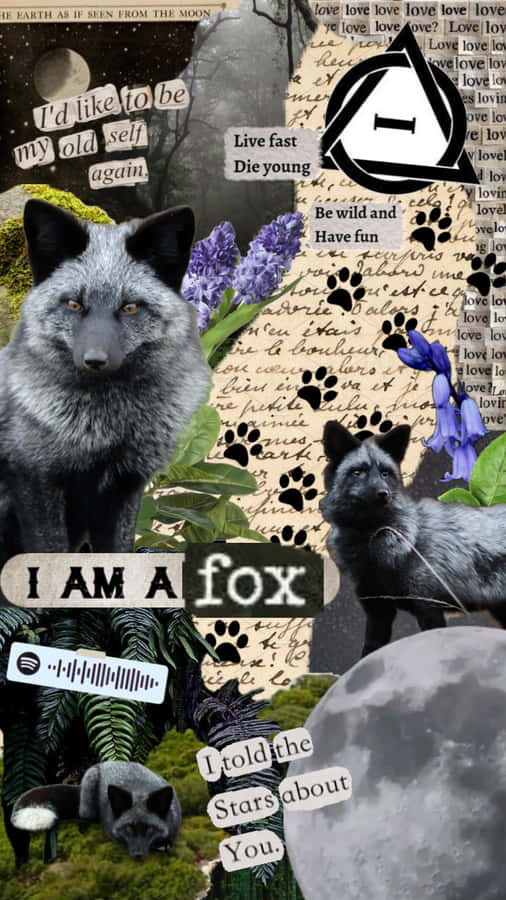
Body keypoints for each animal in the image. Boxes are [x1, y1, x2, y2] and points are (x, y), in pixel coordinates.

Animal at [0, 199, 210, 577]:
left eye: (129, 307)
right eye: (74, 304)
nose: (94, 360)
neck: (105, 429)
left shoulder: (123, 487)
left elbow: (117, 556)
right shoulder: (35, 479)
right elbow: (51, 560)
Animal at [10, 761, 181, 866]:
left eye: (150, 829)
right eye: (128, 828)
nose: (137, 855)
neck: (140, 790)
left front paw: (164, 845)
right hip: (88, 797)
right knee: (83, 817)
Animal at [320, 420, 506, 658]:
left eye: (385, 473)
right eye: (357, 472)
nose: (384, 494)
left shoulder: (428, 607)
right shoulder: (378, 612)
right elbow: (369, 651)